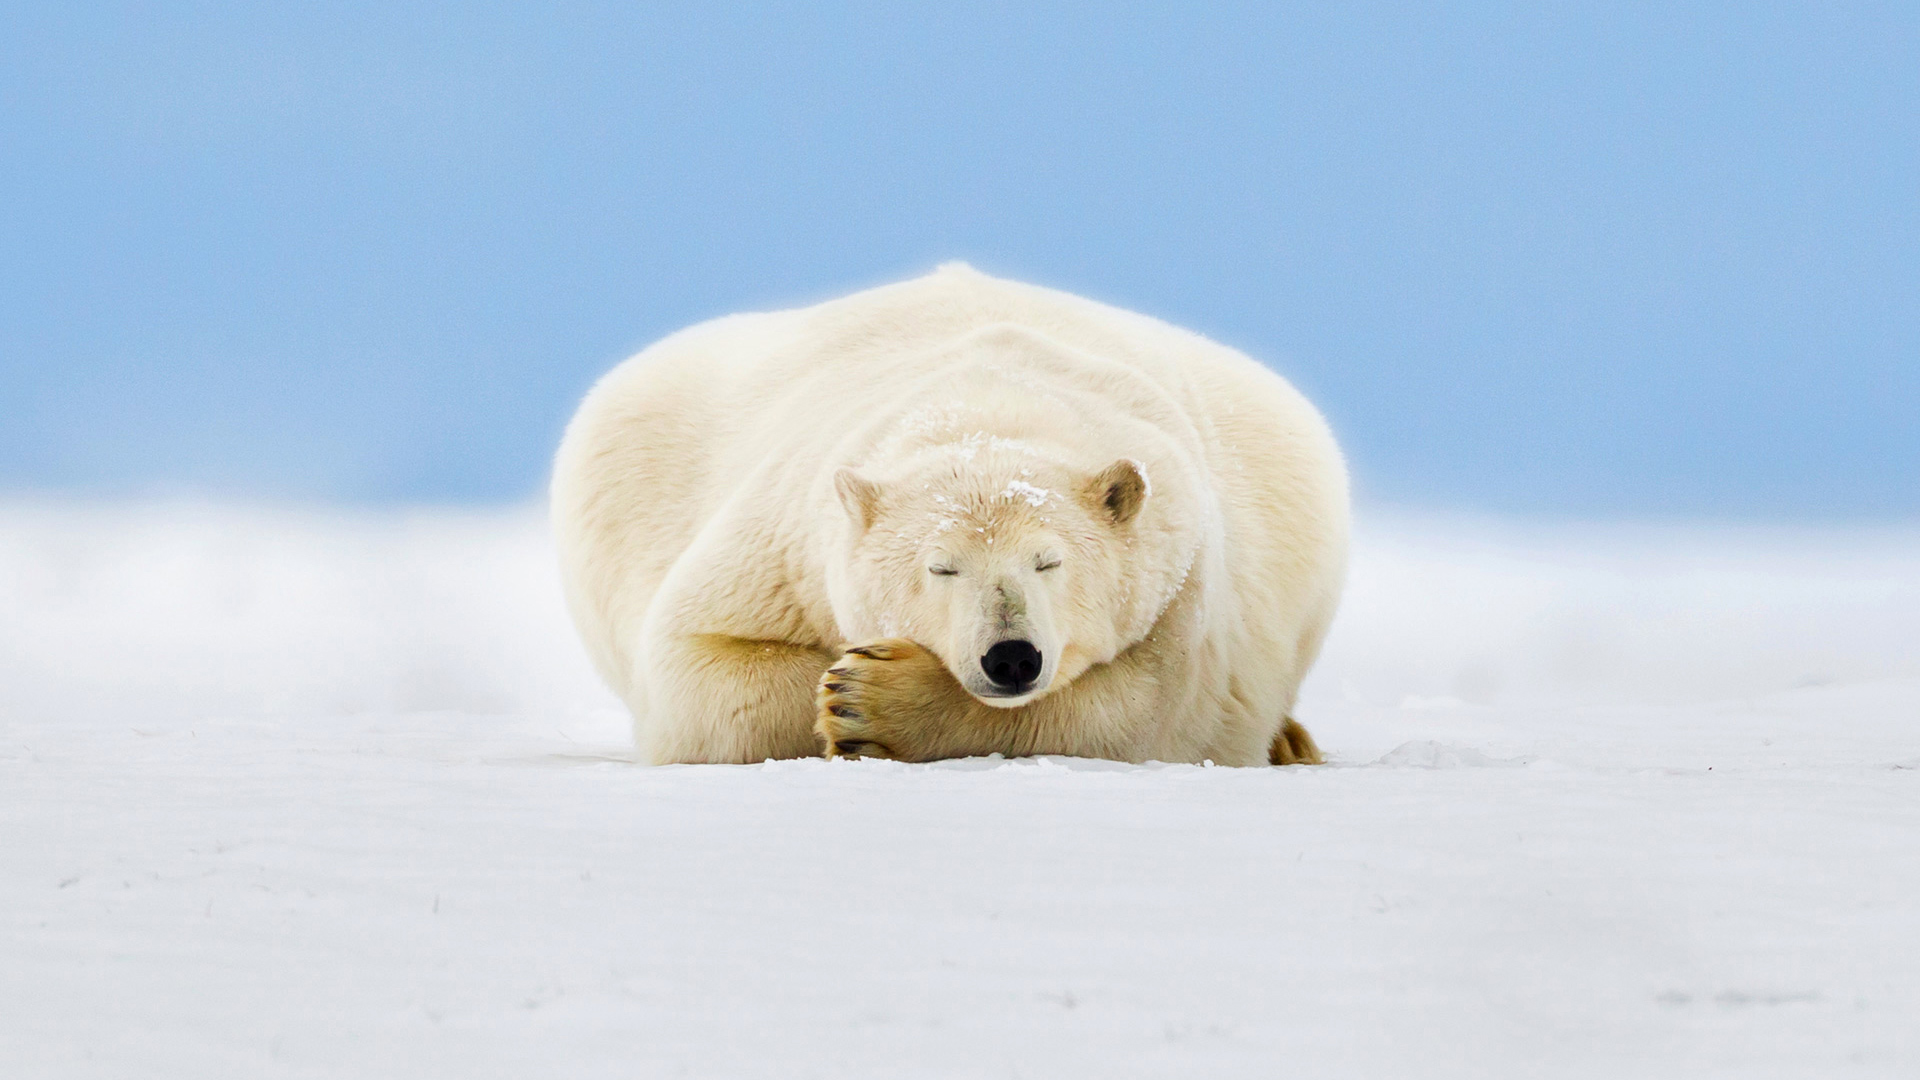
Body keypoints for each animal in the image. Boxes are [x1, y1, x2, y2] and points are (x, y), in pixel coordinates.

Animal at [549, 263, 1344, 760]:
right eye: (942, 568)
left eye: (1050, 562)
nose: (1011, 656)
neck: (989, 400)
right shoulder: (782, 547)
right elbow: (697, 668)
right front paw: (841, 687)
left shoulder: (1184, 577)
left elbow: (1151, 711)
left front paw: (874, 700)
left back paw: (1292, 742)